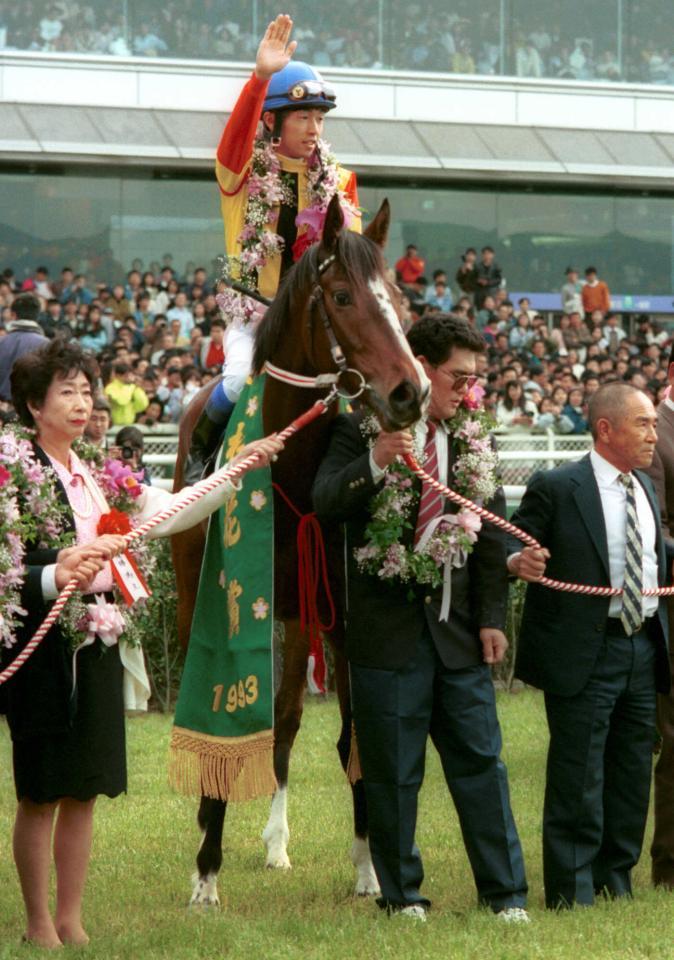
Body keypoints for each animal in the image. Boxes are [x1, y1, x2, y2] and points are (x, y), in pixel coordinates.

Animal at [171, 197, 428, 908]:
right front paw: (205, 873)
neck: (296, 474)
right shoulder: (229, 605)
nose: (411, 392)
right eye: (341, 296)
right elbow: (224, 726)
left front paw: (369, 869)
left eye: (400, 298)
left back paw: (278, 843)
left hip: (296, 610)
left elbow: (354, 737)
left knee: (285, 722)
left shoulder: (339, 614)